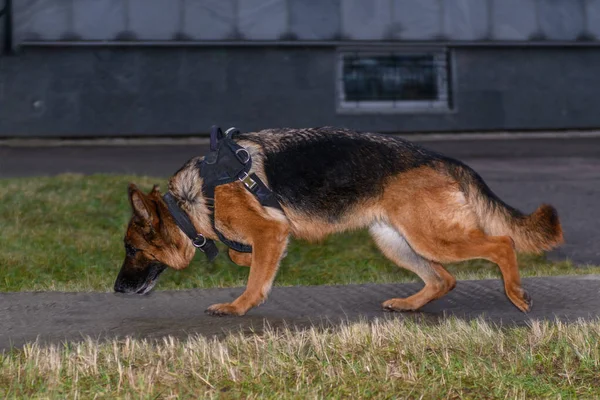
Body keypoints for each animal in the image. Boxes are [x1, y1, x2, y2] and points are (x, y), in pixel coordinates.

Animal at [113, 127, 564, 316]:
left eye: (132, 249)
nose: (116, 290)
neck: (192, 199)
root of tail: (443, 160)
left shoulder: (270, 231)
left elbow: (255, 279)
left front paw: (238, 306)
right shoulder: (272, 236)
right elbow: (246, 258)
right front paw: (241, 259)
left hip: (431, 237)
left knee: (501, 243)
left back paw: (515, 293)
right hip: (395, 241)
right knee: (443, 279)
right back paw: (408, 304)